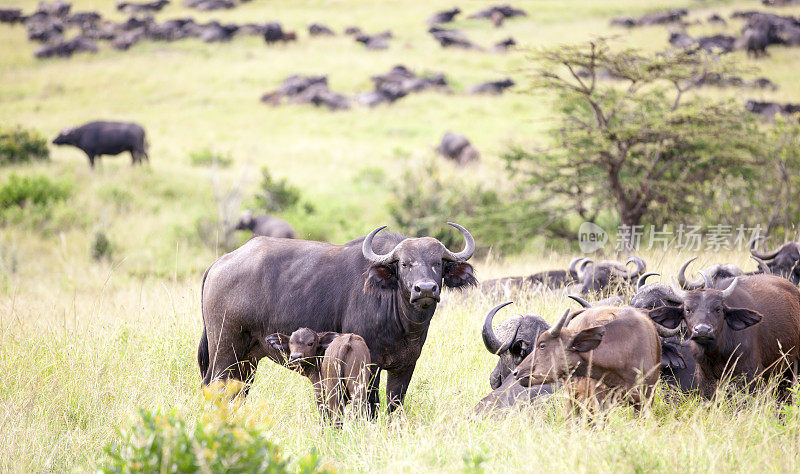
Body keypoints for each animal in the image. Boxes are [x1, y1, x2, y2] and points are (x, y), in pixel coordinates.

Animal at [198, 224, 476, 412]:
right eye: (405, 264)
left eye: (438, 263)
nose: (425, 289)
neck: (403, 324)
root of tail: (219, 263)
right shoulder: (368, 365)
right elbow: (370, 404)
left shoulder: (405, 366)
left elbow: (394, 405)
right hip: (225, 349)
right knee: (214, 384)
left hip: (248, 358)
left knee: (238, 391)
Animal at [648, 274, 800, 400]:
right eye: (687, 309)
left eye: (718, 309)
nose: (702, 330)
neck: (717, 352)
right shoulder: (705, 378)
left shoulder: (750, 376)